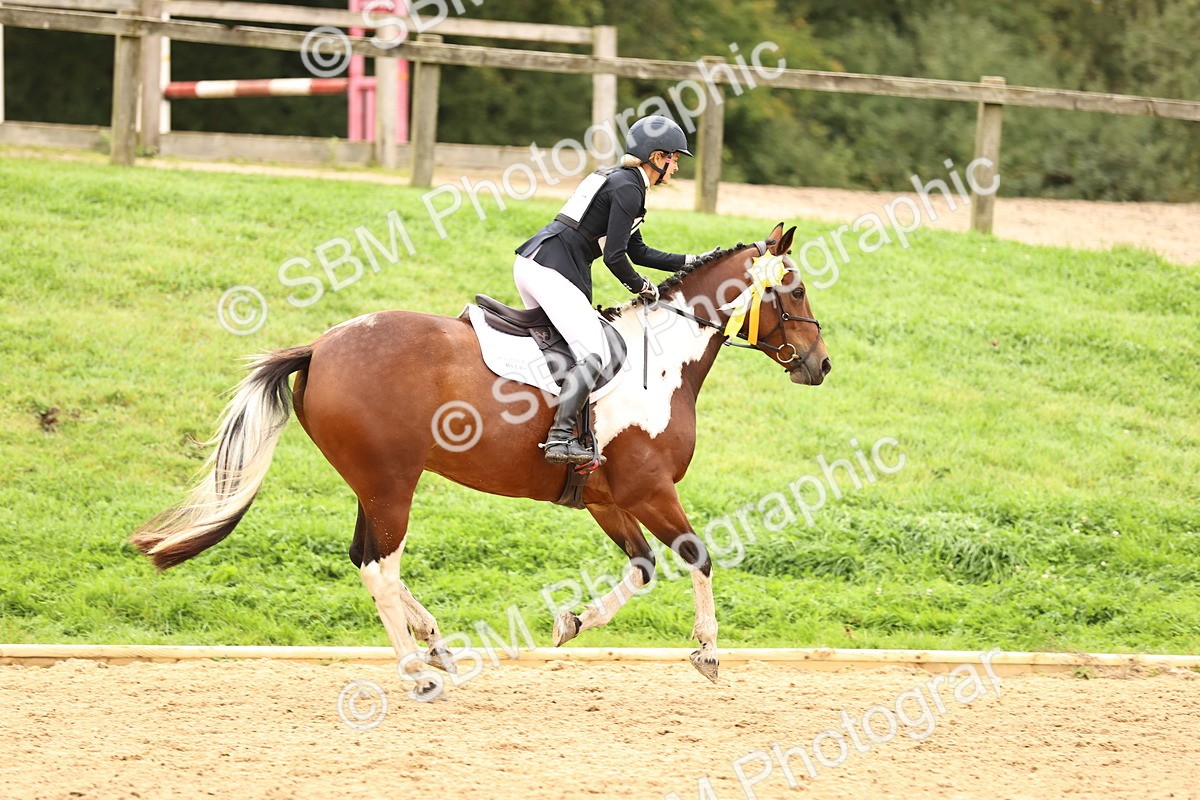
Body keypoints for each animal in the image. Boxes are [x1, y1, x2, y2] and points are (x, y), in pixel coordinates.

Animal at [130, 222, 830, 698]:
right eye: (794, 290)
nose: (820, 365)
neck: (661, 359)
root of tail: (320, 347)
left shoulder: (607, 498)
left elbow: (641, 568)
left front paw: (573, 621)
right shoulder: (649, 489)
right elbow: (697, 555)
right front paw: (707, 650)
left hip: (372, 484)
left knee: (366, 559)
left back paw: (435, 644)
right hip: (392, 484)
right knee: (380, 568)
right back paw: (415, 671)